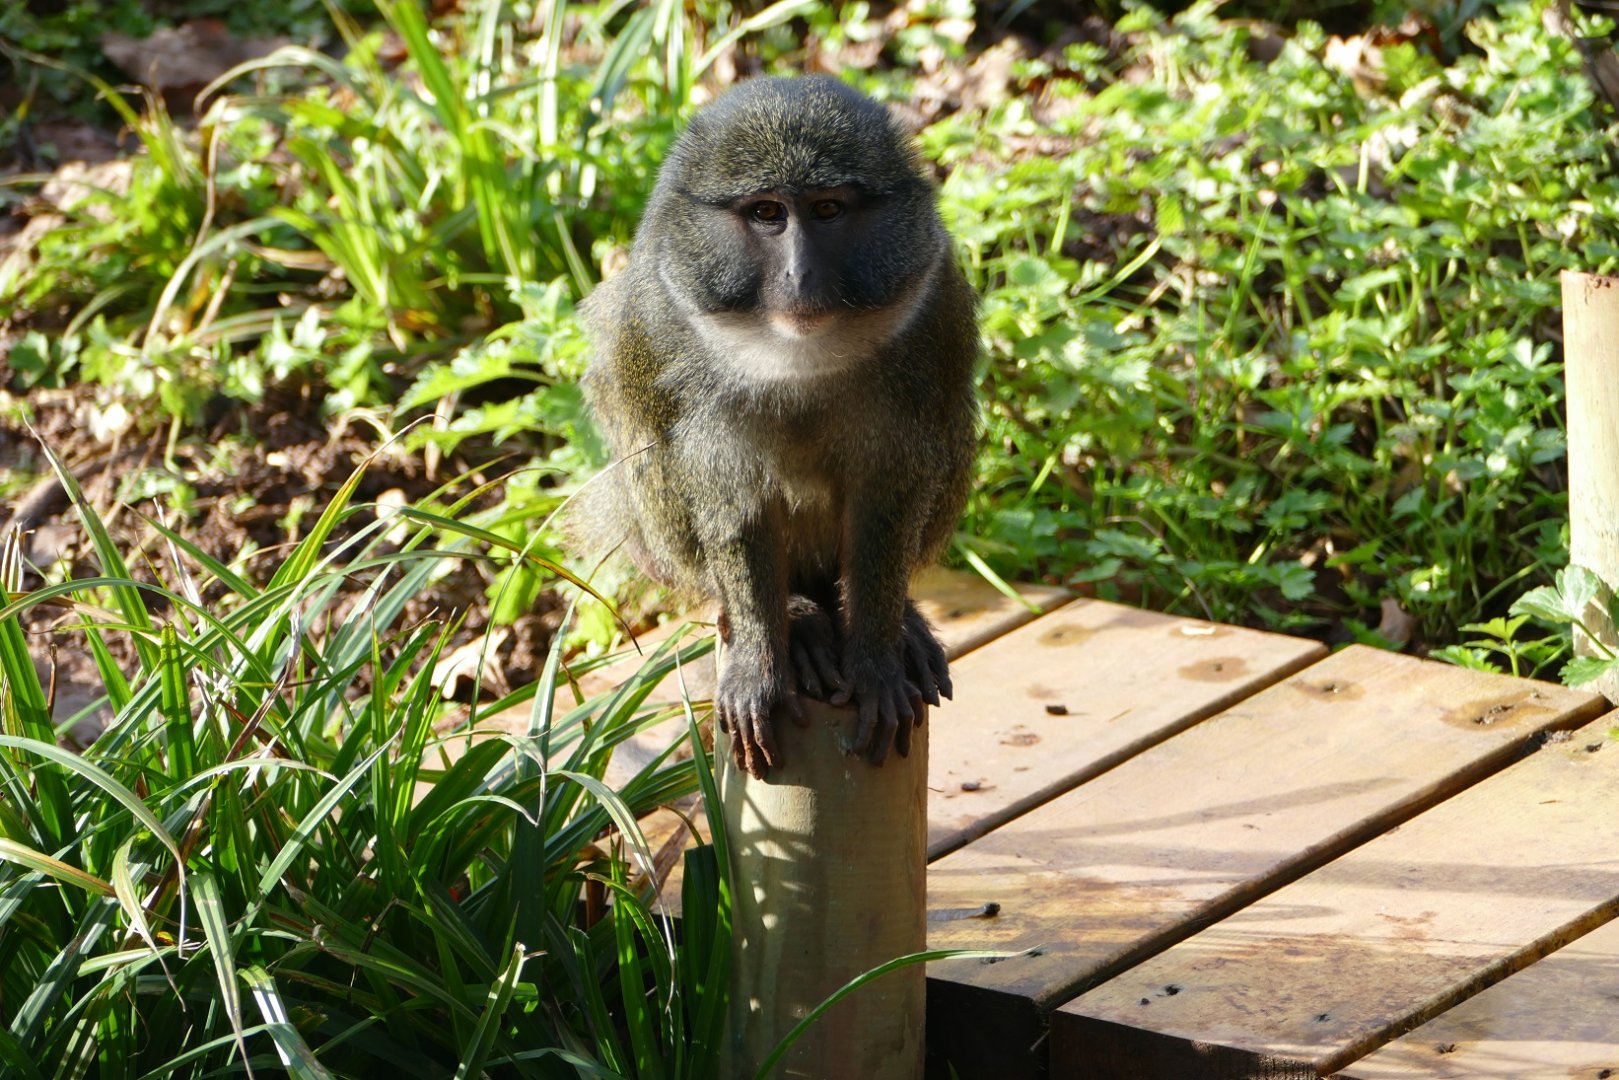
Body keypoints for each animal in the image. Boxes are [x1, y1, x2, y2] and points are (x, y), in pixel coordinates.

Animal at [576, 75, 979, 780]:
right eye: (767, 213)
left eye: (826, 210)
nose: (799, 275)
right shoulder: (665, 329)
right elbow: (729, 502)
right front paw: (762, 662)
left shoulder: (934, 308)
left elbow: (893, 490)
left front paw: (877, 656)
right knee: (655, 462)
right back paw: (797, 616)